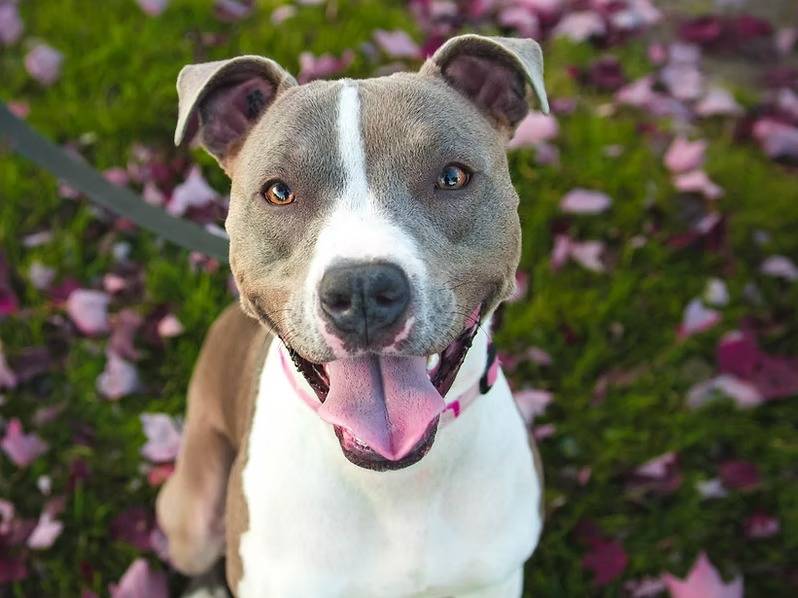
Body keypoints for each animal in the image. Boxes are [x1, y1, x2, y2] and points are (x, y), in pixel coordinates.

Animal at [156, 34, 549, 597]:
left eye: (453, 177)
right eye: (279, 191)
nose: (364, 288)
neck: (395, 481)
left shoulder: (493, 579)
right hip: (191, 513)